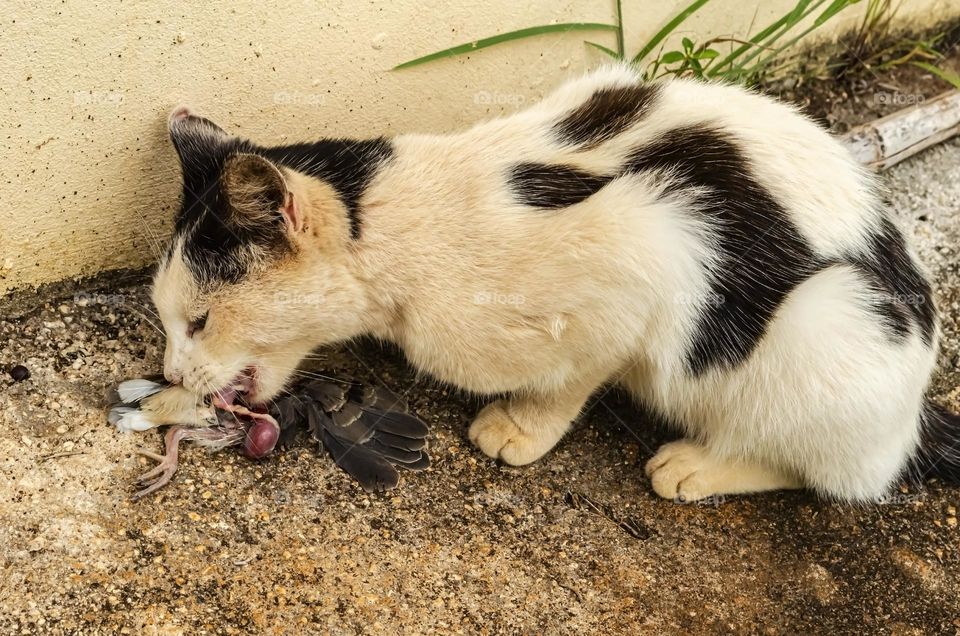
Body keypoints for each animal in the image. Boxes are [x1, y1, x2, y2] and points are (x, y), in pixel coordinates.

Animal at [118, 64, 960, 502]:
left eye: (198, 321)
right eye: (170, 321)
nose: (170, 374)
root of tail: (915, 408)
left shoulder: (651, 254)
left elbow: (578, 374)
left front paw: (523, 427)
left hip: (828, 322)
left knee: (831, 468)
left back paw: (697, 464)